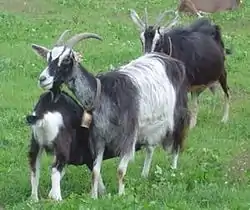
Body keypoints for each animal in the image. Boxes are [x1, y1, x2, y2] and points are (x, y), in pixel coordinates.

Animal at [31, 30, 190, 199]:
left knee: (177, 143)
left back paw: (173, 171)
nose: (43, 79)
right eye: (48, 58)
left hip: (178, 115)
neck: (103, 94)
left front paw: (121, 195)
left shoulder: (128, 137)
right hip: (150, 125)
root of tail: (170, 60)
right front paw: (94, 196)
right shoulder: (98, 138)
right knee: (150, 148)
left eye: (66, 59)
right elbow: (95, 171)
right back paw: (144, 174)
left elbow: (120, 170)